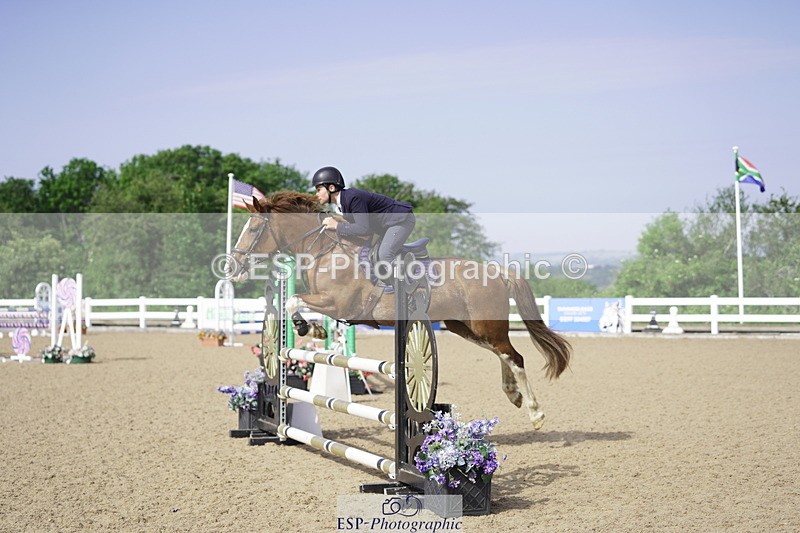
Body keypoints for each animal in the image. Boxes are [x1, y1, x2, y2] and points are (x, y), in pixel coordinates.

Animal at [231, 191, 571, 429]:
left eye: (254, 229)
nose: (233, 267)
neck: (324, 252)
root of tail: (498, 271)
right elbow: (295, 302)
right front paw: (312, 328)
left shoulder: (338, 302)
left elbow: (292, 301)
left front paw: (307, 328)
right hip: (464, 326)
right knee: (502, 353)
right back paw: (513, 394)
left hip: (484, 325)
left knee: (514, 356)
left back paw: (536, 414)